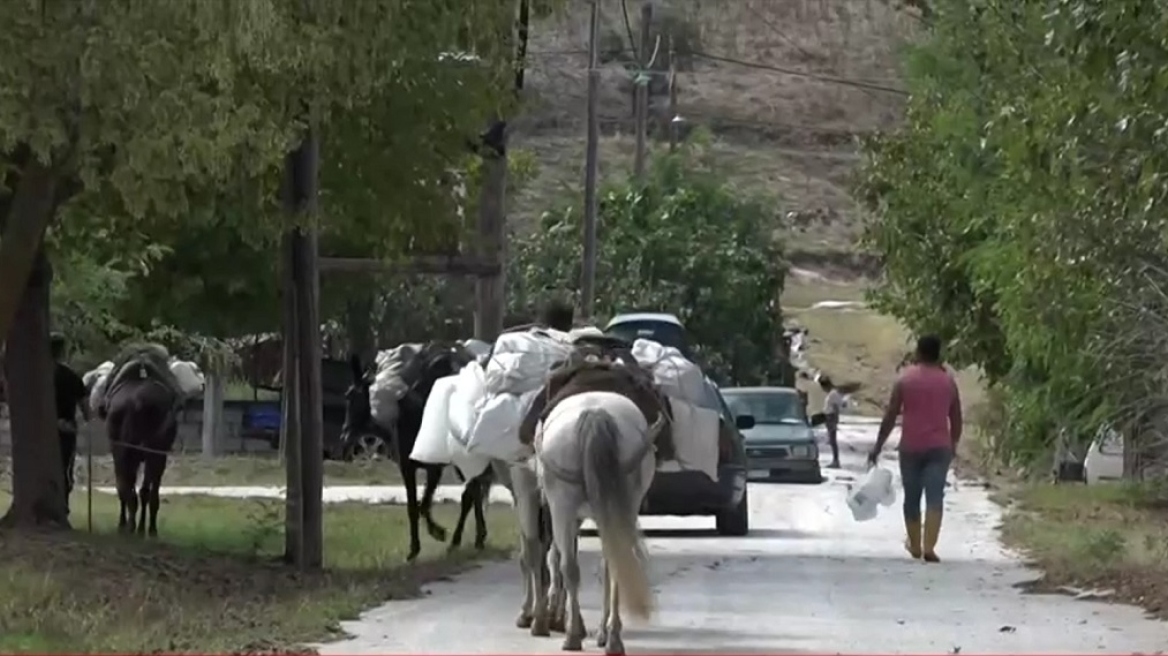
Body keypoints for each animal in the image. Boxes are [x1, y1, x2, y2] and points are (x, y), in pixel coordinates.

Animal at [534, 389, 663, 648]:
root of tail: (594, 412)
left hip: (562, 506)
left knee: (570, 566)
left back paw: (574, 635)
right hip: (622, 507)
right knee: (614, 562)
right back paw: (612, 637)